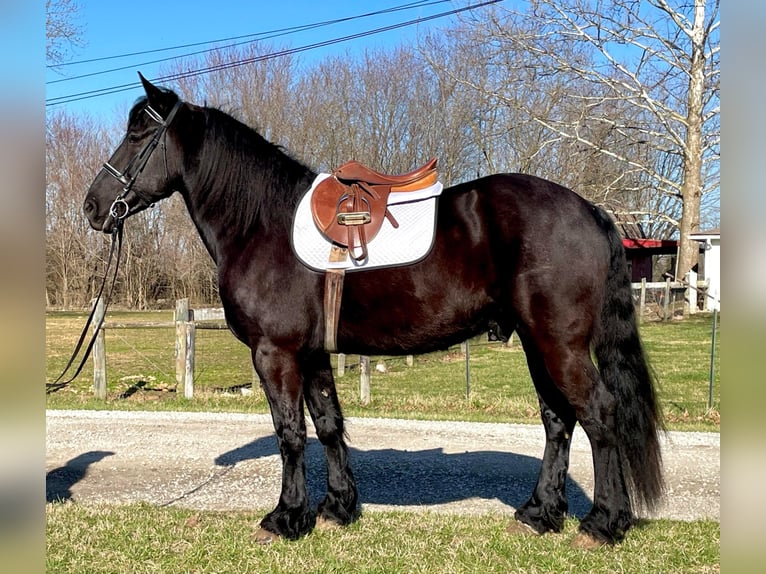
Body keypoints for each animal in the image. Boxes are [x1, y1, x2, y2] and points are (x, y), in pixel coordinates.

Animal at [84, 75, 664, 548]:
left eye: (138, 133)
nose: (92, 207)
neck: (261, 225)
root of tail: (590, 210)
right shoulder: (313, 355)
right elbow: (328, 425)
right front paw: (337, 508)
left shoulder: (275, 354)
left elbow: (290, 433)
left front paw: (285, 518)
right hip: (537, 343)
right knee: (557, 420)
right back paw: (541, 513)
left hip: (558, 344)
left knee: (599, 414)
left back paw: (603, 523)